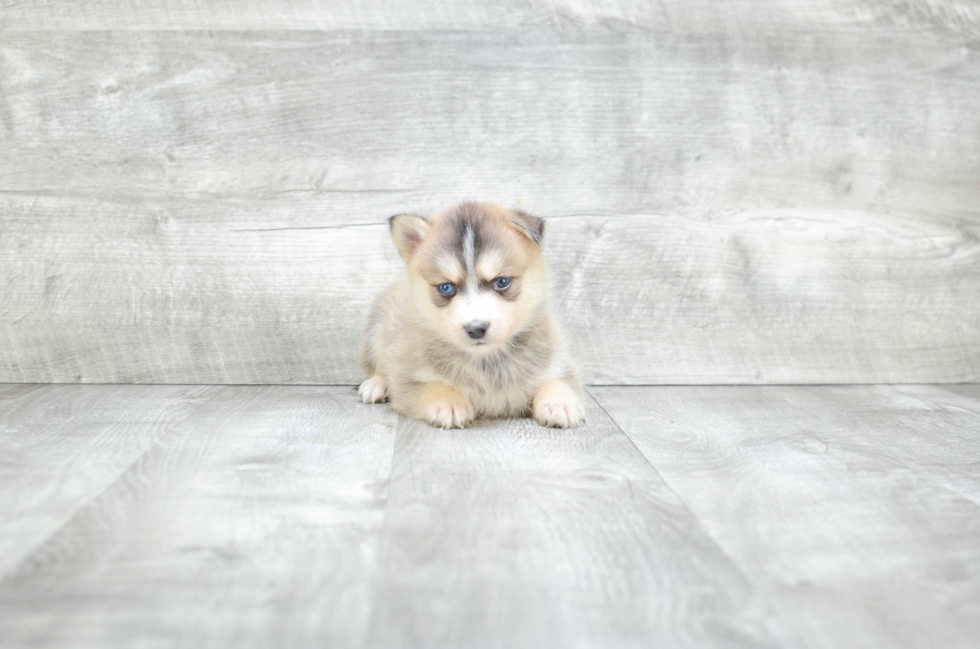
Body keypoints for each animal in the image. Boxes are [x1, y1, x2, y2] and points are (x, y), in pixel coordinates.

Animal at [358, 200, 580, 428]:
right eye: (446, 287)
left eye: (502, 281)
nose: (476, 329)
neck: (486, 361)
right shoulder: (409, 377)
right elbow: (432, 386)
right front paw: (448, 403)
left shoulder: (558, 364)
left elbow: (559, 382)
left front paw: (558, 403)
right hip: (377, 329)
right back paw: (376, 385)